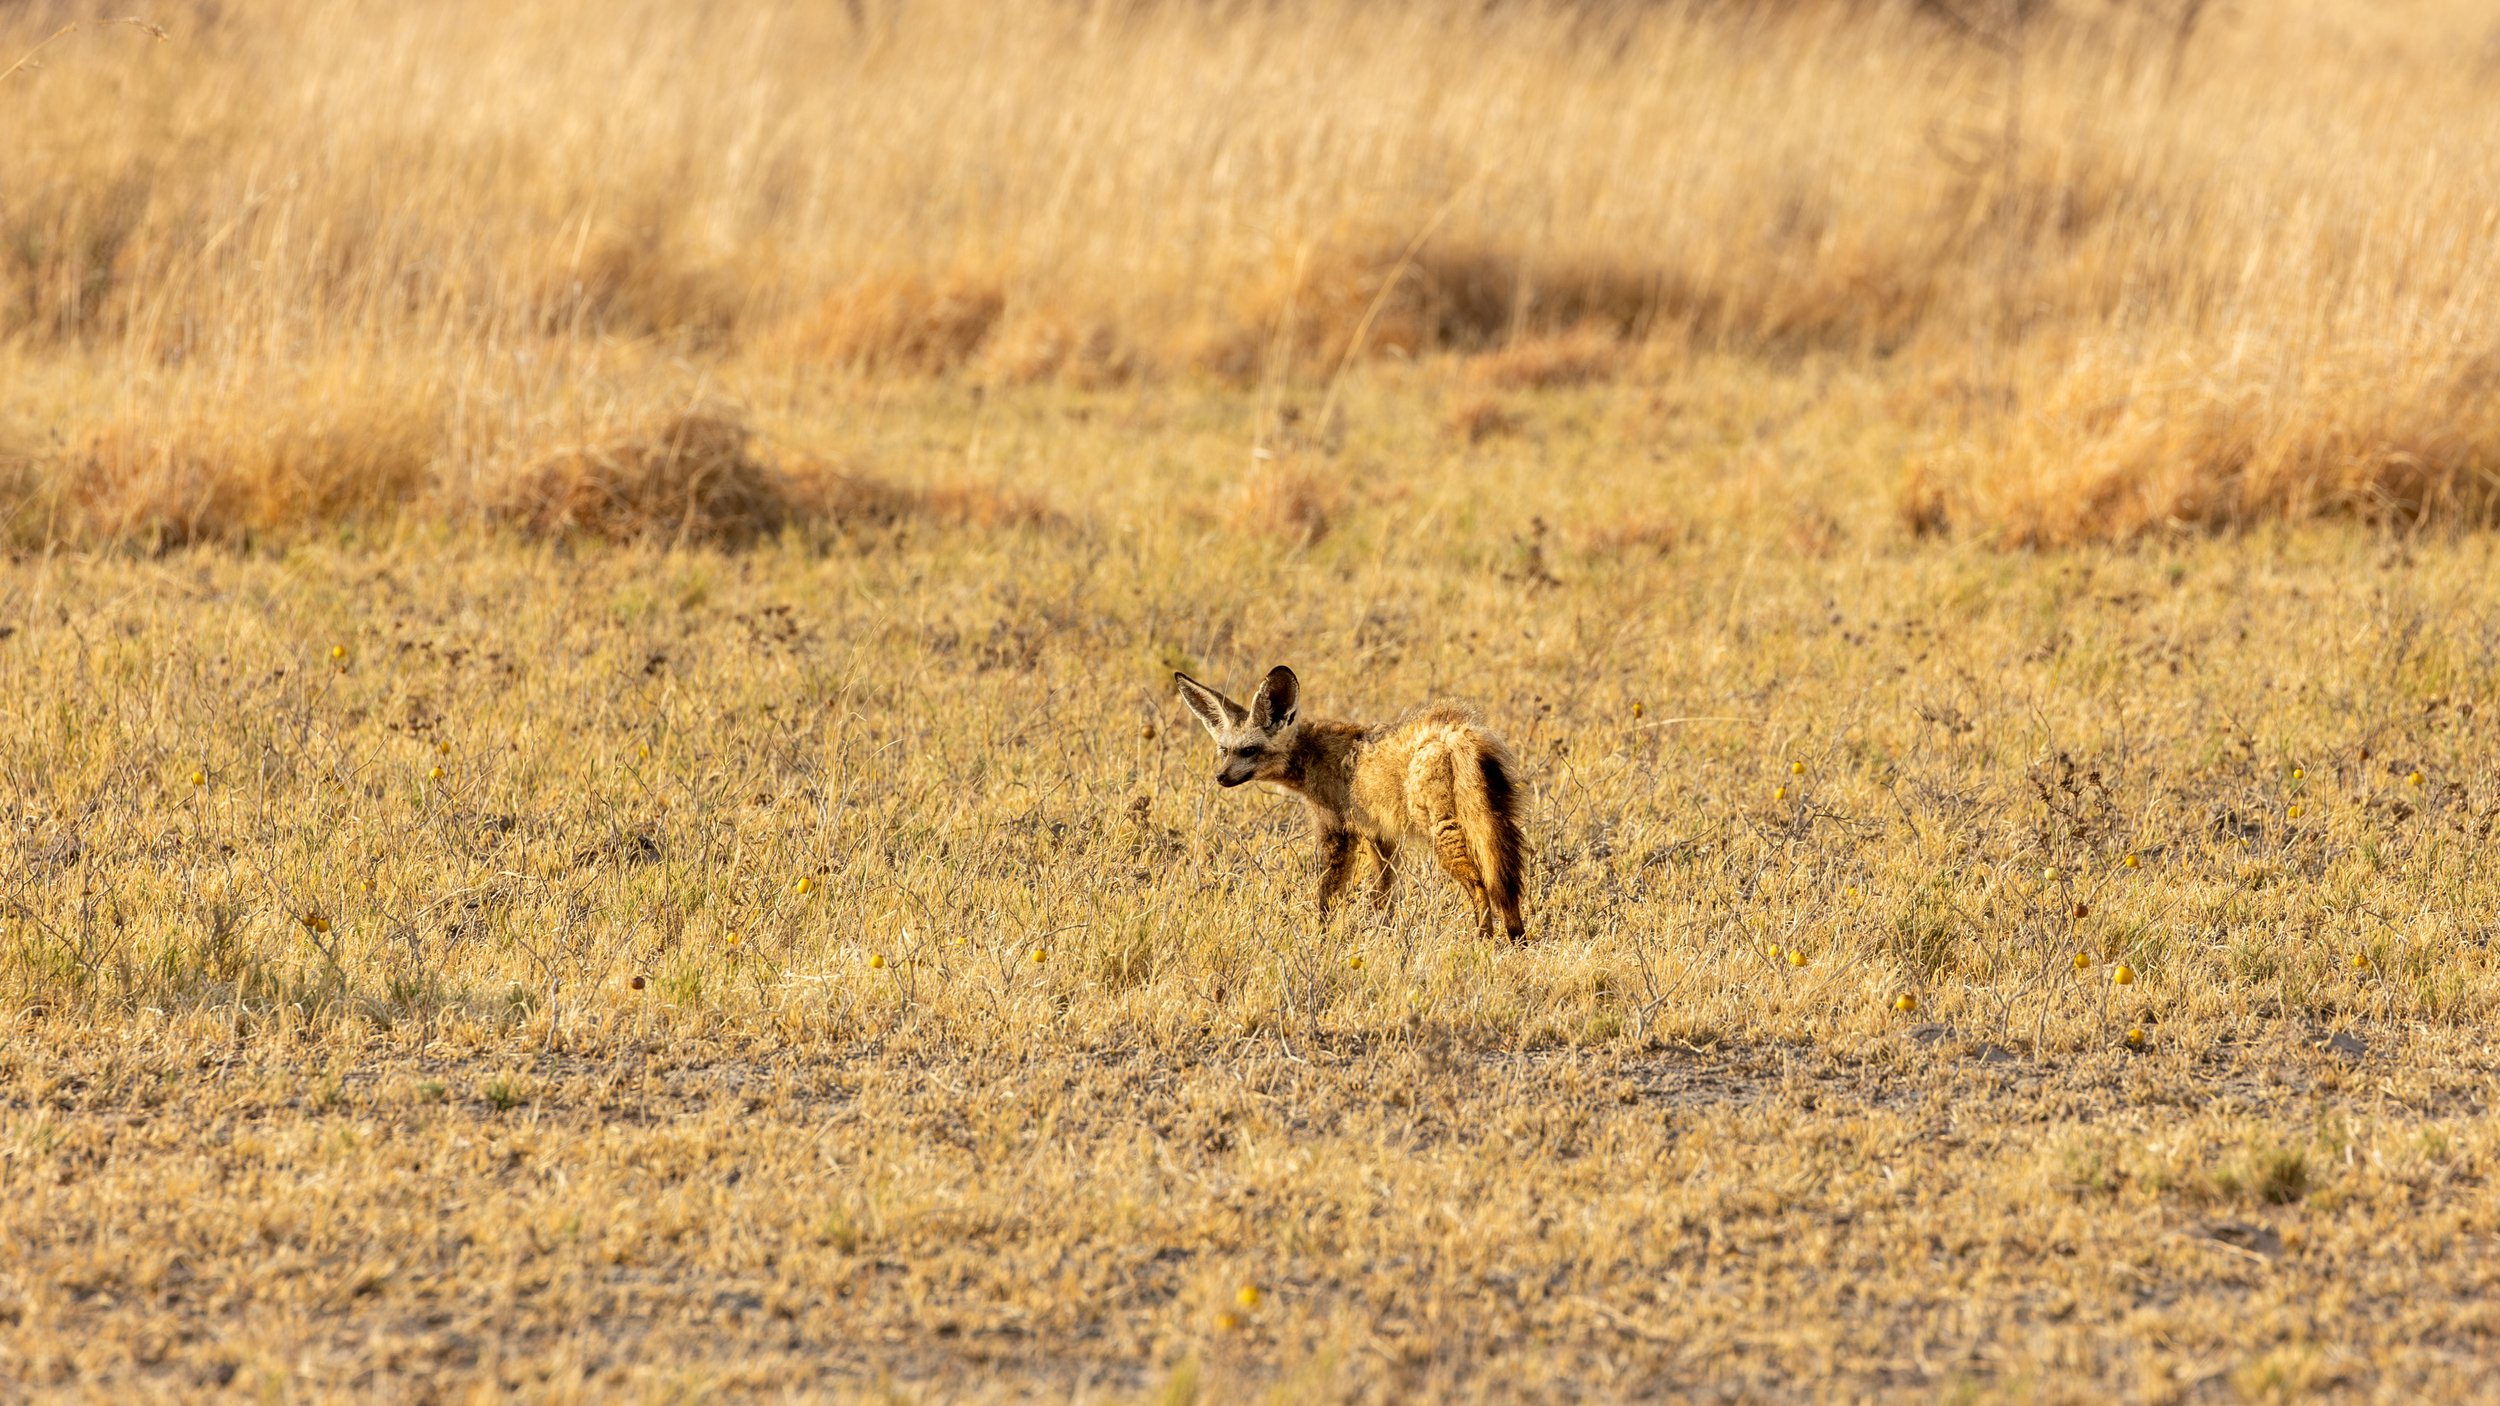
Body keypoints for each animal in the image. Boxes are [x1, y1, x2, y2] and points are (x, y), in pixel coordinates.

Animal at [1174, 665, 1528, 939]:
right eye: (1224, 750)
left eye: (1249, 750)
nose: (1220, 777)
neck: (1311, 754)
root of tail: (1457, 728)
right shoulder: (1380, 835)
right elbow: (1383, 894)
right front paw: (1381, 932)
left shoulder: (1337, 831)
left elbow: (1327, 895)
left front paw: (1321, 937)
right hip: (1497, 822)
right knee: (1506, 887)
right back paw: (1516, 939)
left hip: (1445, 833)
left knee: (1481, 885)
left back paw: (1483, 940)